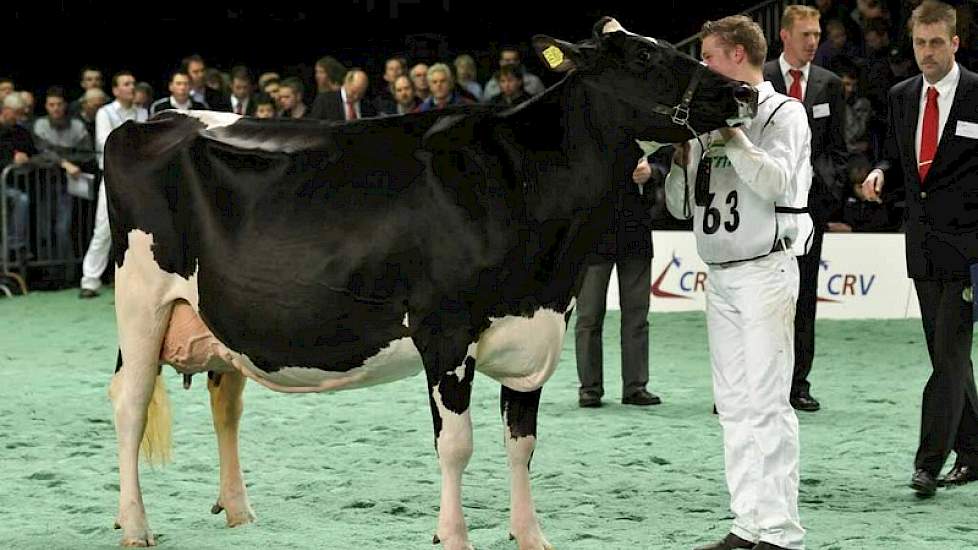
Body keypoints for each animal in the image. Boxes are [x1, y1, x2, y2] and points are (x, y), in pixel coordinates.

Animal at [107, 18, 756, 550]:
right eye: (644, 57)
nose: (744, 92)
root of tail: (154, 120)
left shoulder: (537, 326)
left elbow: (521, 442)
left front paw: (531, 536)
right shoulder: (445, 332)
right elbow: (456, 444)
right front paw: (455, 536)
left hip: (217, 315)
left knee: (225, 401)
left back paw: (238, 511)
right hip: (140, 299)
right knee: (130, 405)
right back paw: (135, 525)